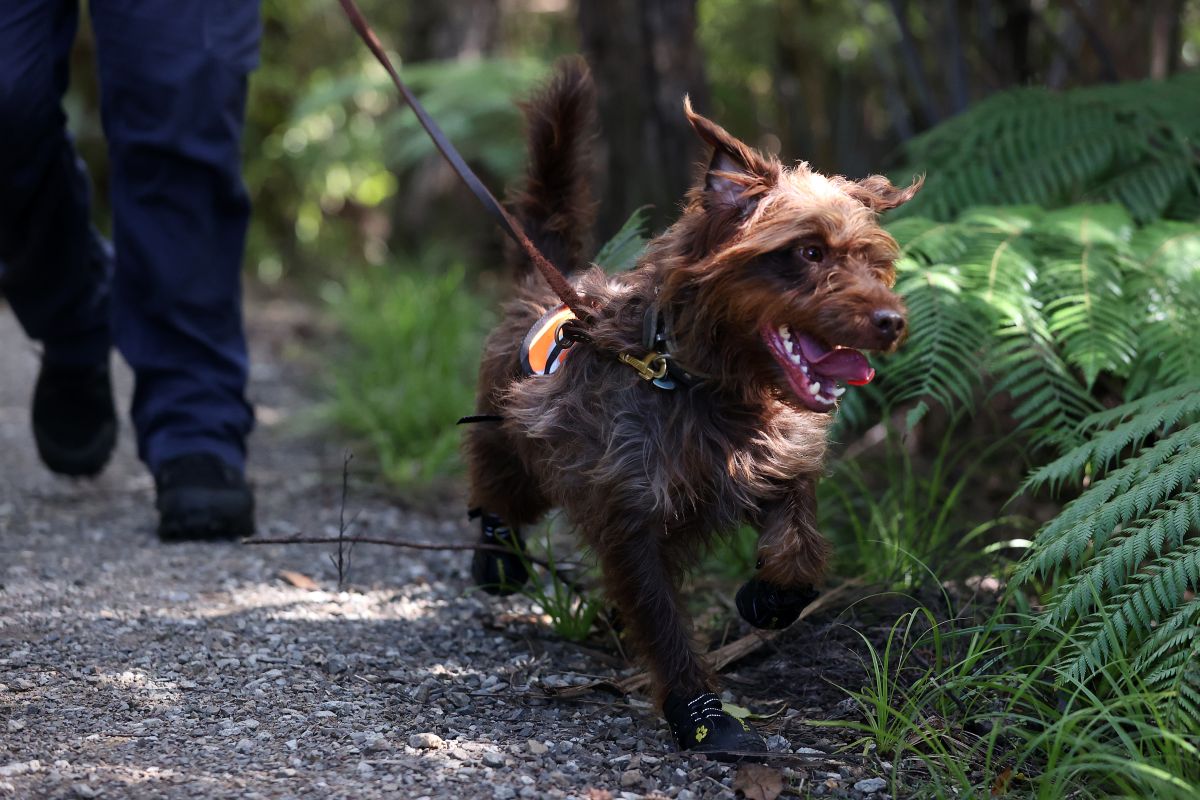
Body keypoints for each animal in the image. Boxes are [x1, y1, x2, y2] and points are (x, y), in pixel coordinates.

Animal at [460, 62, 916, 758]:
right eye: (809, 252)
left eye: (872, 259)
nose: (893, 321)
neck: (700, 385)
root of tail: (547, 280)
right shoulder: (631, 519)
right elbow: (662, 619)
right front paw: (700, 713)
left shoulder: (777, 462)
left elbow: (799, 540)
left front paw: (772, 596)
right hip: (511, 448)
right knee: (498, 494)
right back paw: (497, 557)